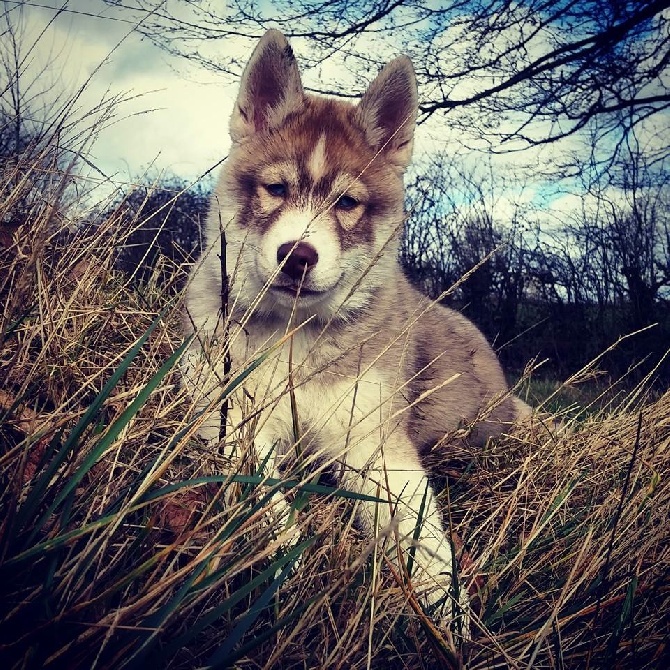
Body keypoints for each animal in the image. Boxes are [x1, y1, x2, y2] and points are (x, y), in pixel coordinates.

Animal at [185, 28, 532, 628]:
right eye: (276, 189)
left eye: (347, 202)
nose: (297, 256)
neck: (294, 336)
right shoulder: (230, 419)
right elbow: (262, 496)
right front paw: (285, 566)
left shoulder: (374, 443)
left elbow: (422, 536)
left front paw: (450, 613)